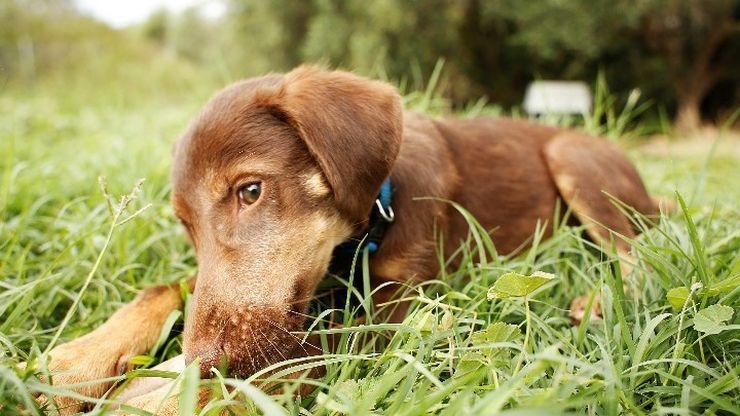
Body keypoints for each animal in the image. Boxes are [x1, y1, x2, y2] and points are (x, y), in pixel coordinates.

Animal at [40, 66, 656, 412]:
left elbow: (289, 358)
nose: (203, 357)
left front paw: (164, 396)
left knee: (639, 251)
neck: (372, 220)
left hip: (576, 160)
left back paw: (598, 302)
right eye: (186, 226)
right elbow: (170, 285)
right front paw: (79, 361)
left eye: (250, 190)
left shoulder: (405, 309)